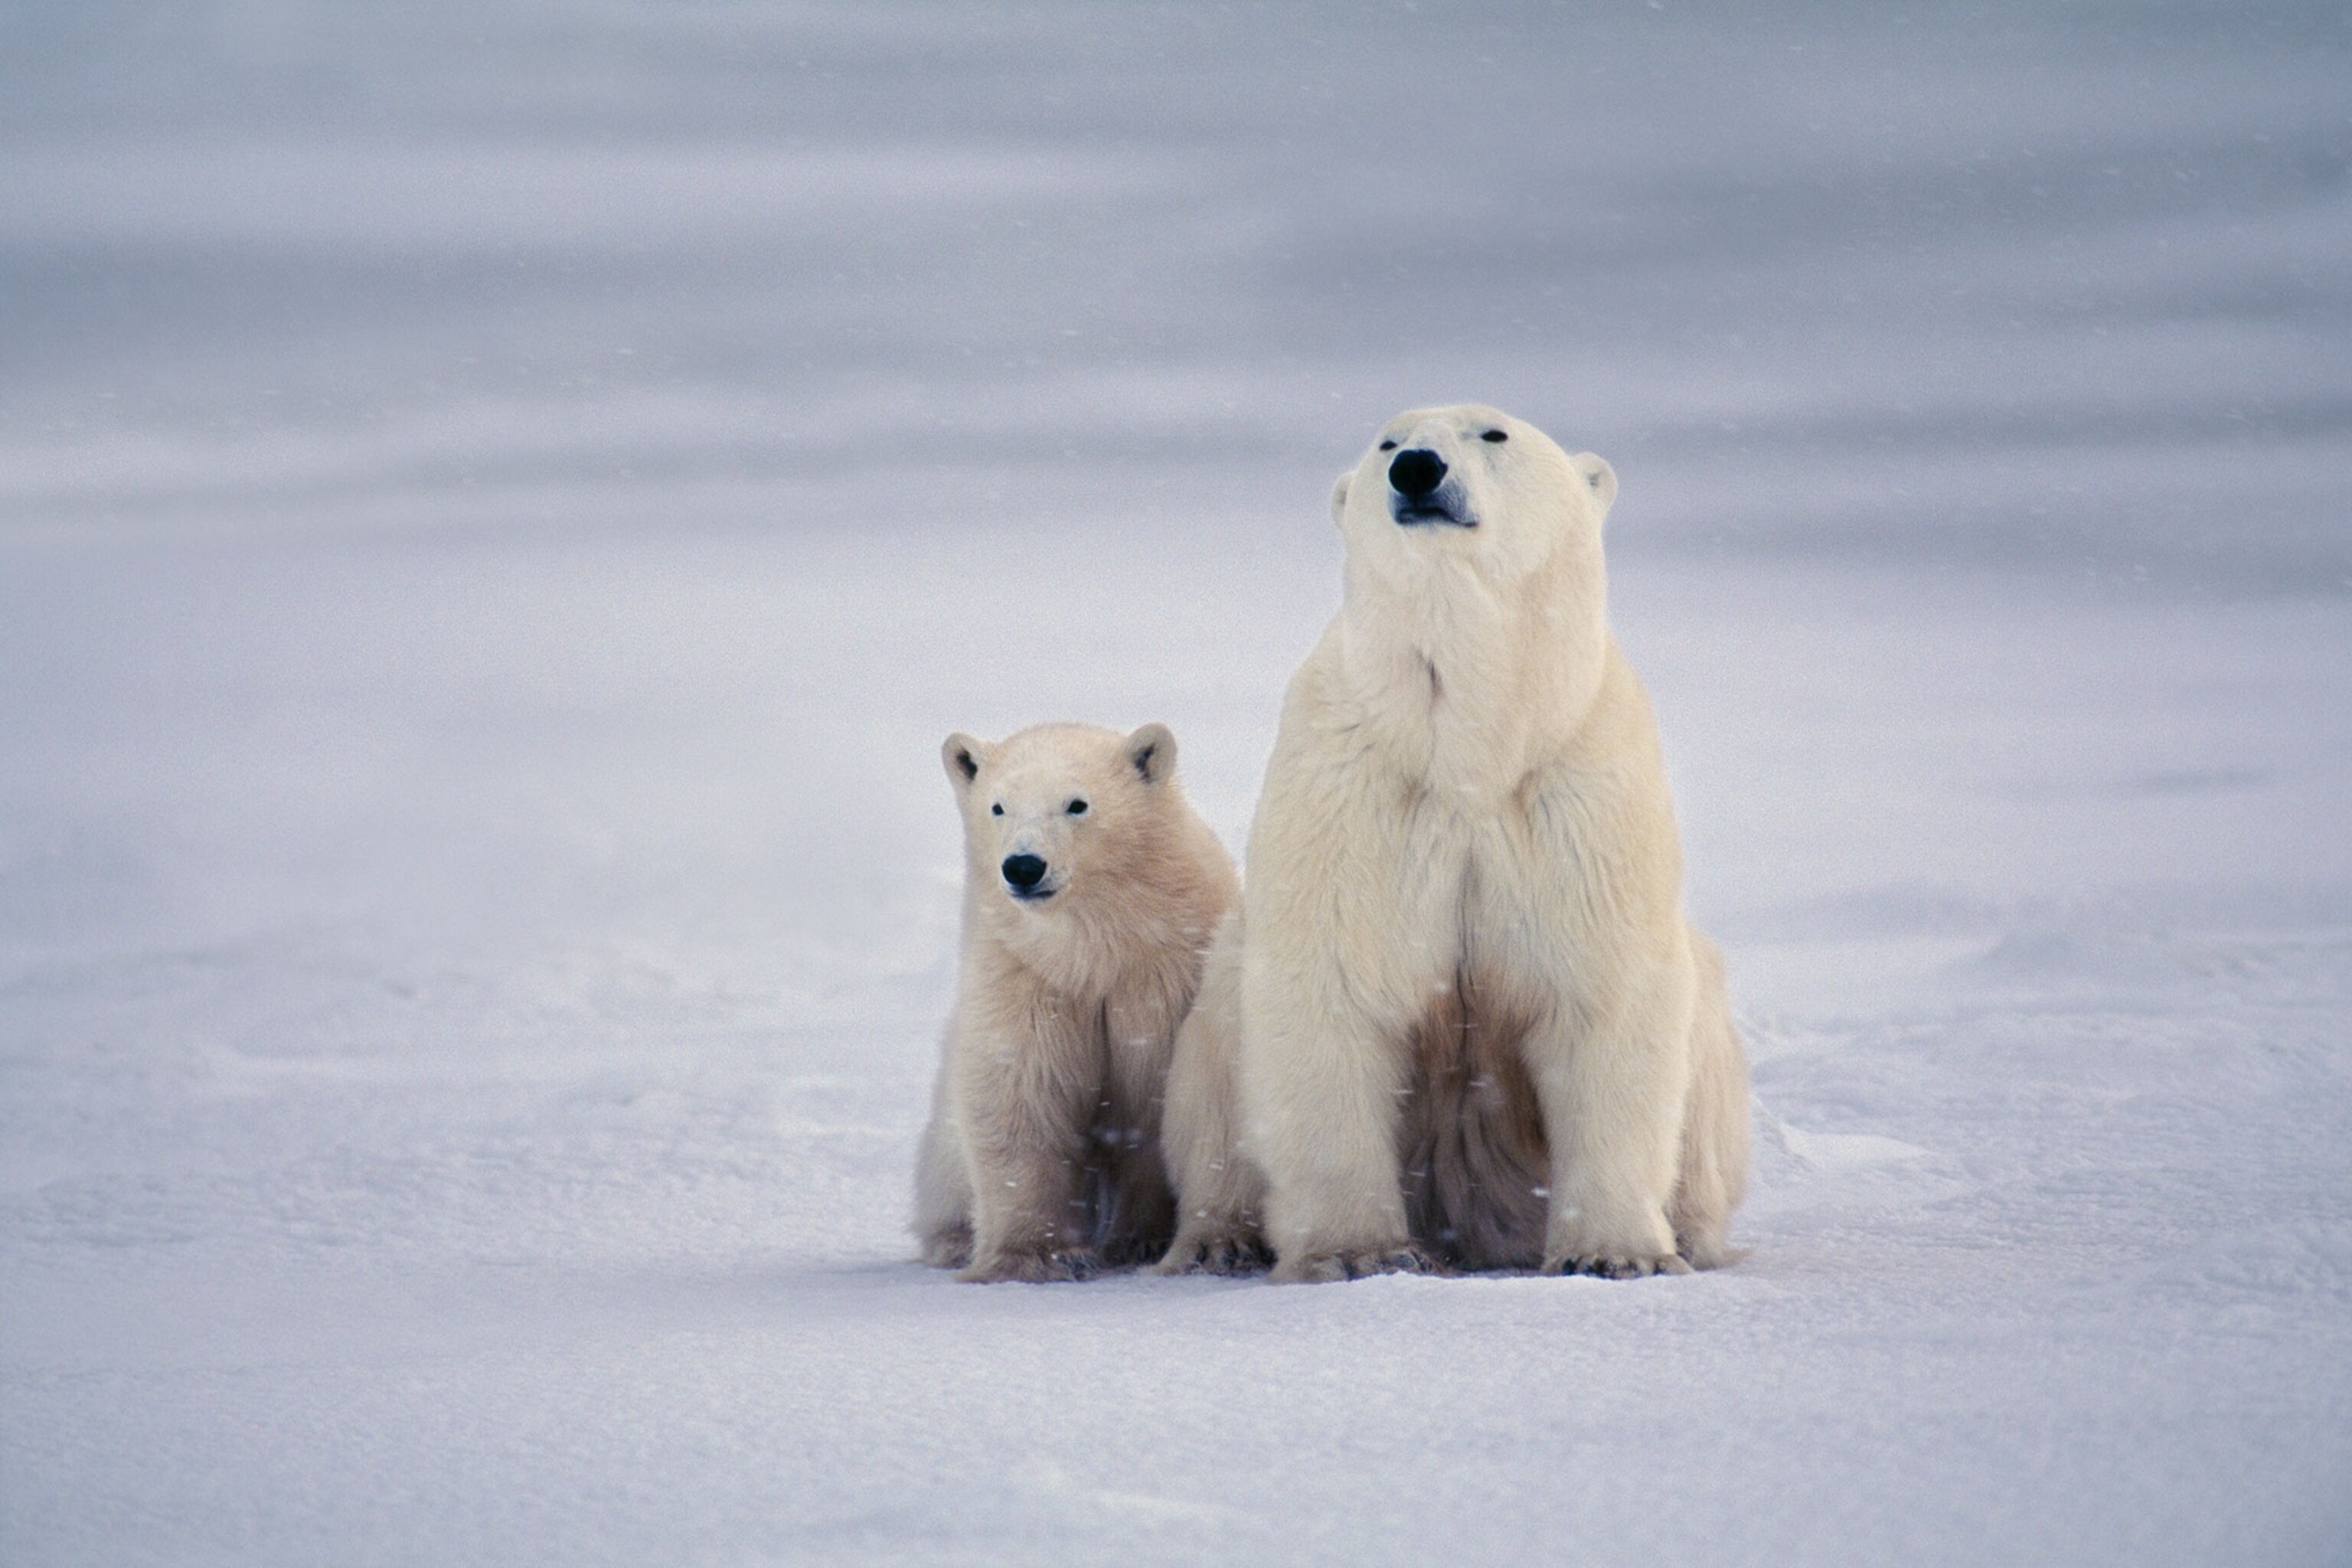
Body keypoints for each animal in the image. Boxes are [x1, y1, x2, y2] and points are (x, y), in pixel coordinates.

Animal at [913, 721, 1239, 1283]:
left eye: (1077, 804)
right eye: (998, 806)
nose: (1024, 866)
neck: (1093, 950)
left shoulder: (1161, 977)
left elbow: (1151, 1107)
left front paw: (1140, 1241)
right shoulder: (1027, 976)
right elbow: (1020, 1092)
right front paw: (1035, 1256)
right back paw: (953, 1241)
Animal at [1155, 405, 1748, 1282]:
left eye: (1494, 433)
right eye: (1387, 442)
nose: (1419, 469)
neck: (1472, 753)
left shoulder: (1575, 793)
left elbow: (1603, 996)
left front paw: (1612, 1255)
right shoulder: (1358, 792)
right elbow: (1333, 986)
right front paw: (1358, 1252)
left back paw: (1696, 1238)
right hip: (1219, 1008)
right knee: (1213, 1084)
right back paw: (1218, 1238)